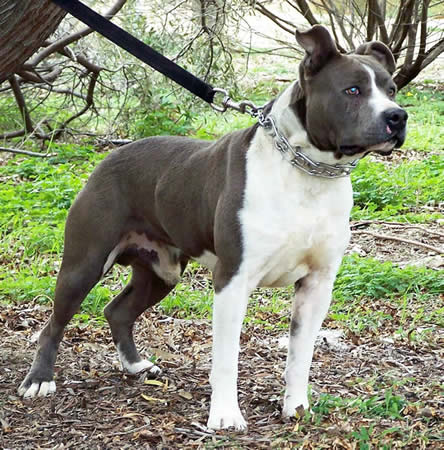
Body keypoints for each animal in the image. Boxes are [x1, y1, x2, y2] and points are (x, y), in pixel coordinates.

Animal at [19, 26, 408, 430]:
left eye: (392, 89)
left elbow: (300, 356)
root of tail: (110, 156)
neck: (307, 173)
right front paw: (224, 415)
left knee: (118, 310)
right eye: (352, 90)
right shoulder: (232, 280)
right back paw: (39, 381)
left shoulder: (316, 285)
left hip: (161, 272)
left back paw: (135, 365)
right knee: (54, 323)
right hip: (84, 264)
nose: (398, 116)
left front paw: (296, 407)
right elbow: (226, 358)